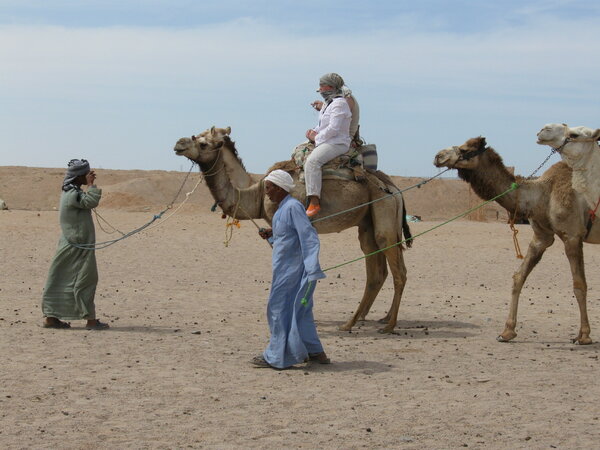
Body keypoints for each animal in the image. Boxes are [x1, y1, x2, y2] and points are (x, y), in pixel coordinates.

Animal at [173, 126, 412, 334]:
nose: (178, 144)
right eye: (196, 136)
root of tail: (393, 189)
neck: (257, 193)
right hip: (367, 224)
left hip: (383, 214)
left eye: (202, 143)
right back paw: (358, 321)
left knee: (397, 271)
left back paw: (387, 325)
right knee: (376, 273)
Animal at [436, 137, 600, 344]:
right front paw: (507, 332)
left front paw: (584, 336)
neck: (543, 193)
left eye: (465, 149)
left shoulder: (572, 235)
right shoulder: (541, 237)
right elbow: (518, 277)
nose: (438, 156)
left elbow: (579, 285)